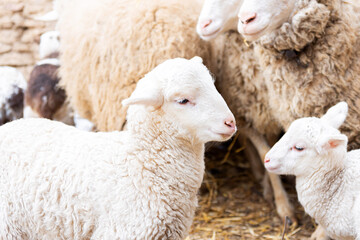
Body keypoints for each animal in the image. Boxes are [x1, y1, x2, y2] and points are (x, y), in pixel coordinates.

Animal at [197, 0, 296, 223]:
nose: (202, 25)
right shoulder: (244, 115)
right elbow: (265, 151)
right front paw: (281, 204)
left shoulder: (271, 114)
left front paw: (272, 191)